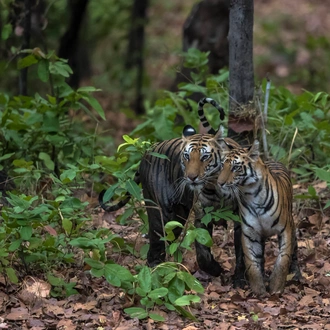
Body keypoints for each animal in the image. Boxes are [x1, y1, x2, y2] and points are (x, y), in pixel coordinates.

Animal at [98, 97, 240, 276]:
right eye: (186, 156)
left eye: (205, 157)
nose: (191, 177)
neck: (215, 187)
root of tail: (147, 152)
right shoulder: (203, 212)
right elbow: (202, 247)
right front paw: (215, 270)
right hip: (161, 209)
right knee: (157, 237)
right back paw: (156, 269)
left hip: (179, 213)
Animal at [217, 139, 302, 296]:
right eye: (222, 166)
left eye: (235, 167)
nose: (220, 183)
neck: (251, 194)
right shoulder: (250, 233)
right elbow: (252, 263)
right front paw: (259, 291)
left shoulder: (285, 230)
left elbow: (282, 260)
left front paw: (276, 289)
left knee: (294, 253)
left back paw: (297, 275)